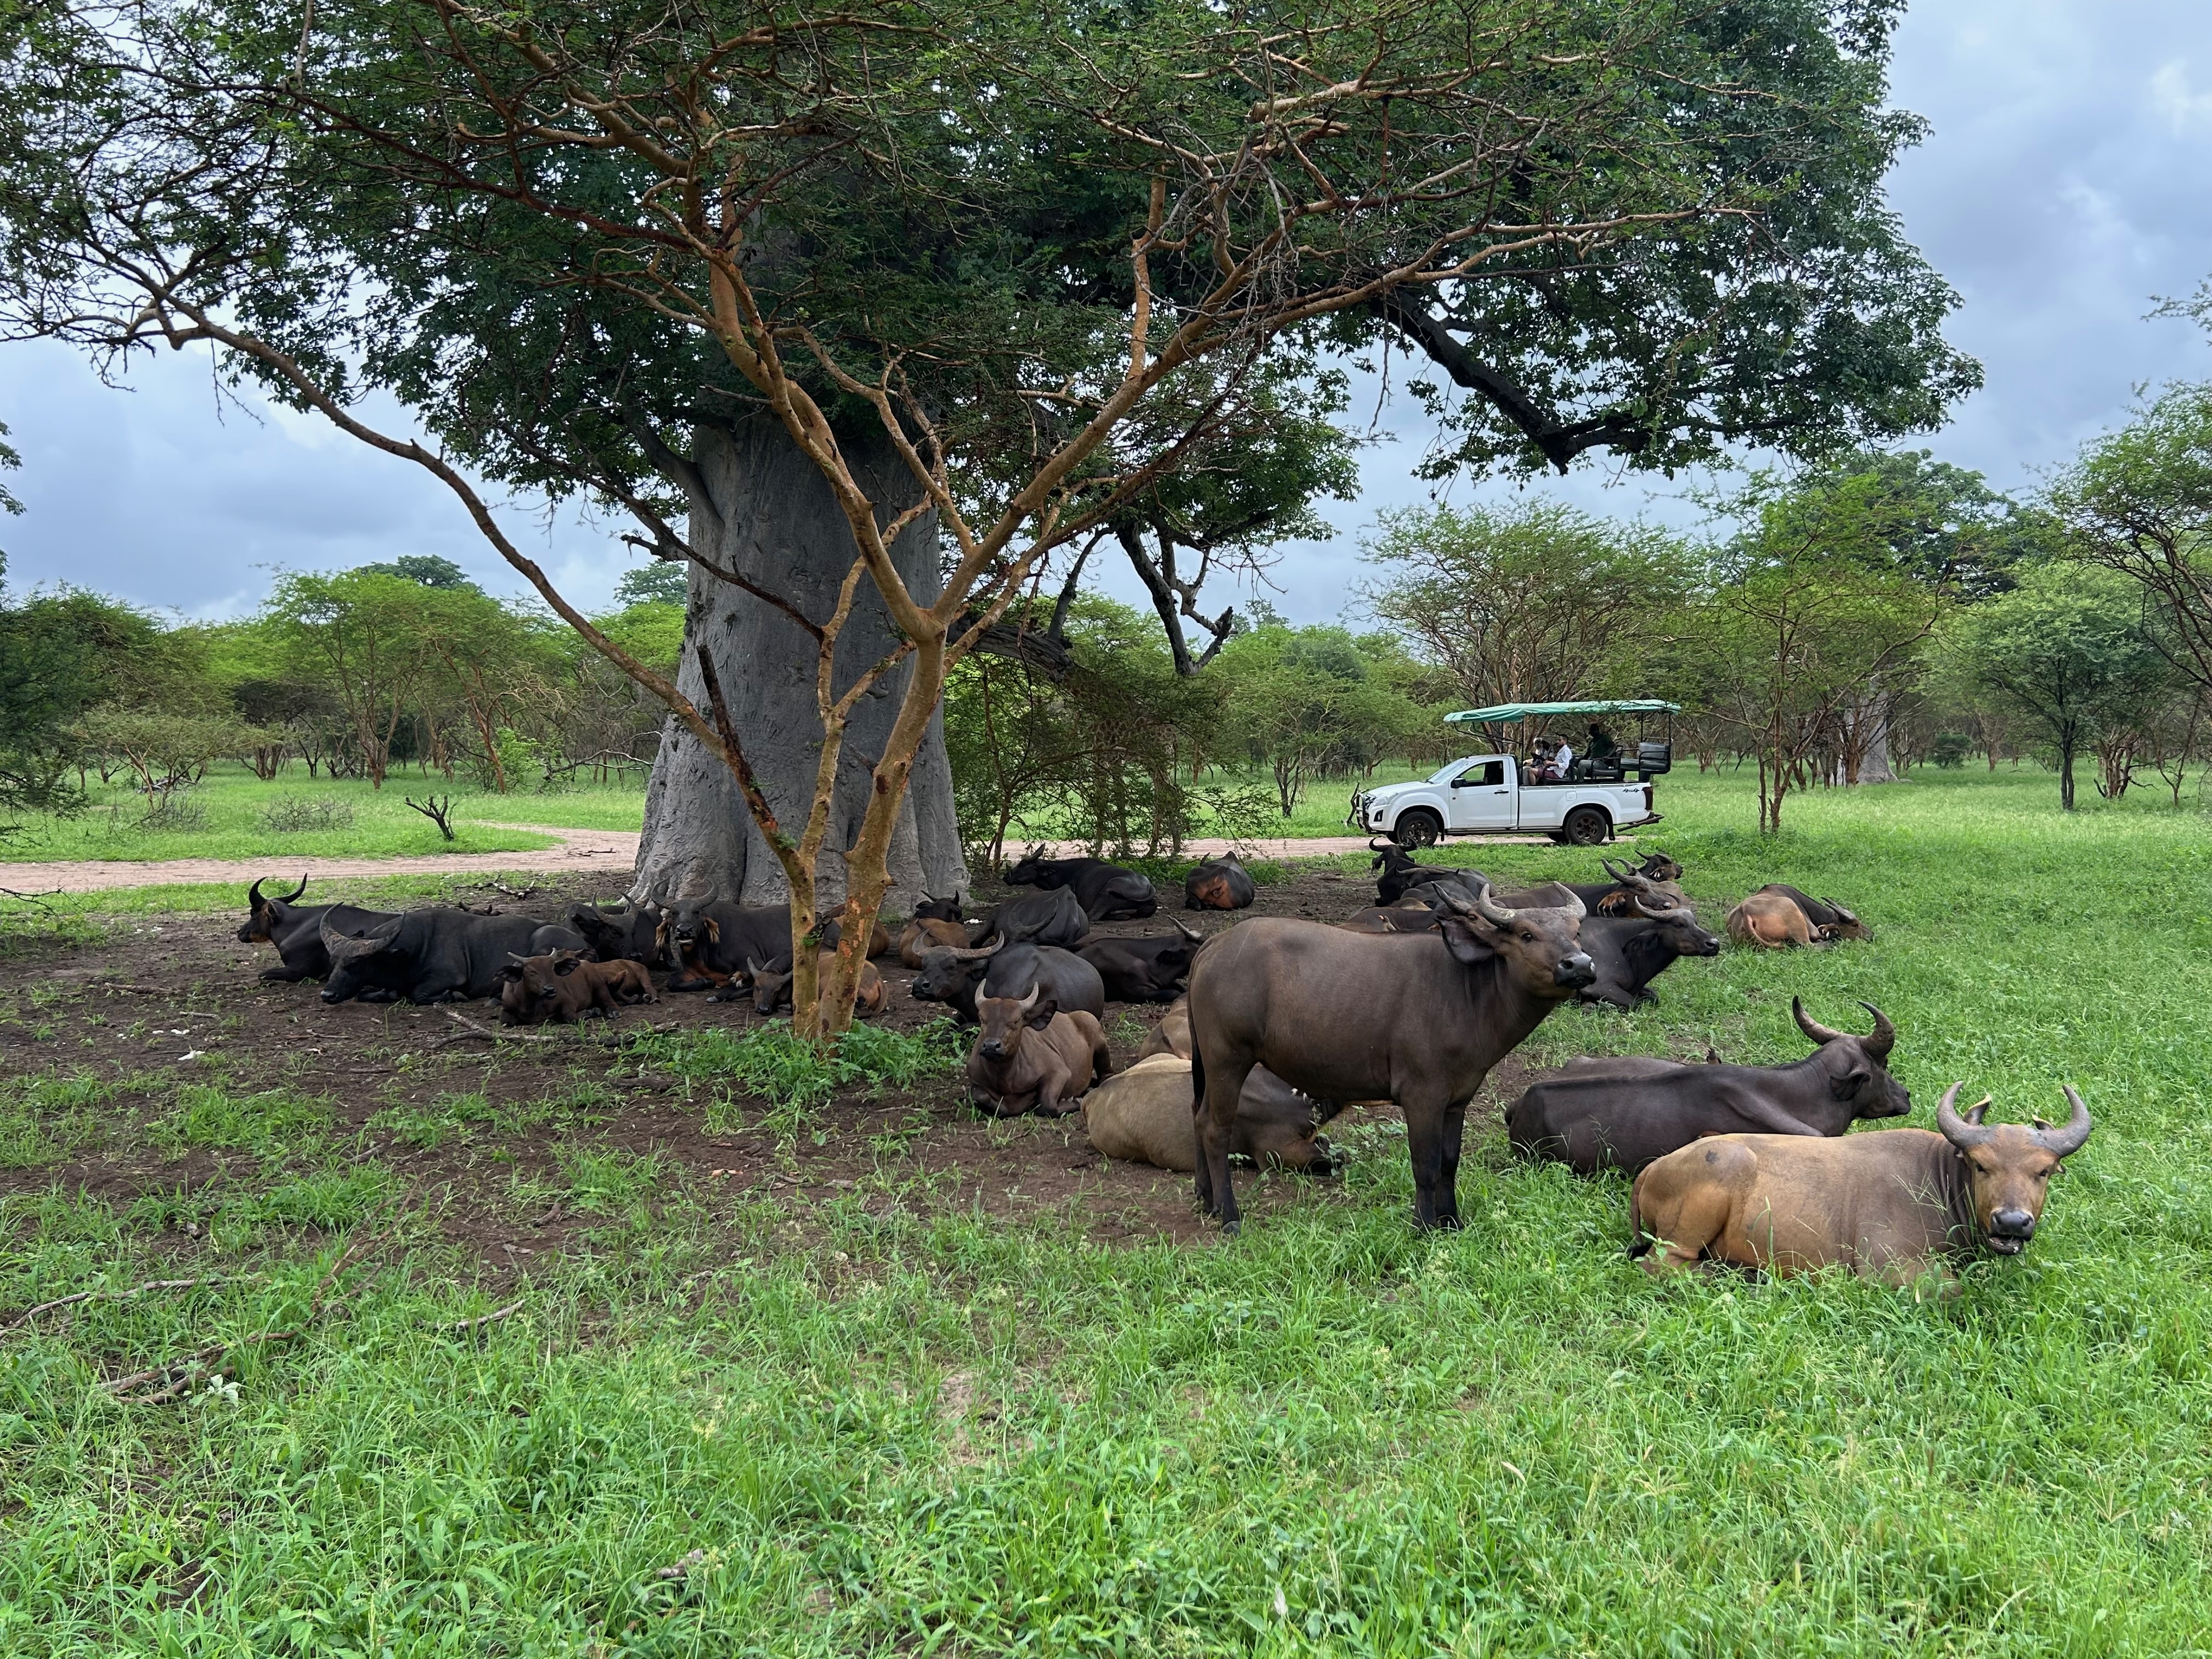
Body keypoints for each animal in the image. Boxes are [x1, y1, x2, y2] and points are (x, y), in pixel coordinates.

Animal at [320, 909, 586, 1004]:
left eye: (355, 964)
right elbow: (365, 994)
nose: (327, 995)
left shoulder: (448, 978)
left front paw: (454, 996)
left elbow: (418, 995)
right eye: (333, 962)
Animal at [1005, 847, 1159, 922]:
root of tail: (1149, 887)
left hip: (1108, 890)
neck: (1066, 873)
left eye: (1022, 865)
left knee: (1093, 915)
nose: (1006, 878)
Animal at [1189, 879, 1594, 1232]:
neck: (1469, 994)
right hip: (1227, 1059)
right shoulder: (1422, 1096)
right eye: (1527, 935)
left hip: (1206, 1065)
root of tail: (1214, 944)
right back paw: (1229, 1215)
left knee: (1196, 1114)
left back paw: (1207, 1200)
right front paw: (1424, 1225)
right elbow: (1426, 1165)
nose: (1580, 965)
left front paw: (1452, 1221)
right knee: (1215, 1128)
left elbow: (1449, 1162)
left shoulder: (1457, 1100)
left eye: (1576, 932)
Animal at [1630, 1083, 2091, 1282]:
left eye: (2044, 1170)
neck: (1938, 1180)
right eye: (1981, 1166)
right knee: (1663, 1265)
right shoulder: (1889, 1268)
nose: (2011, 1222)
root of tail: (1653, 1170)